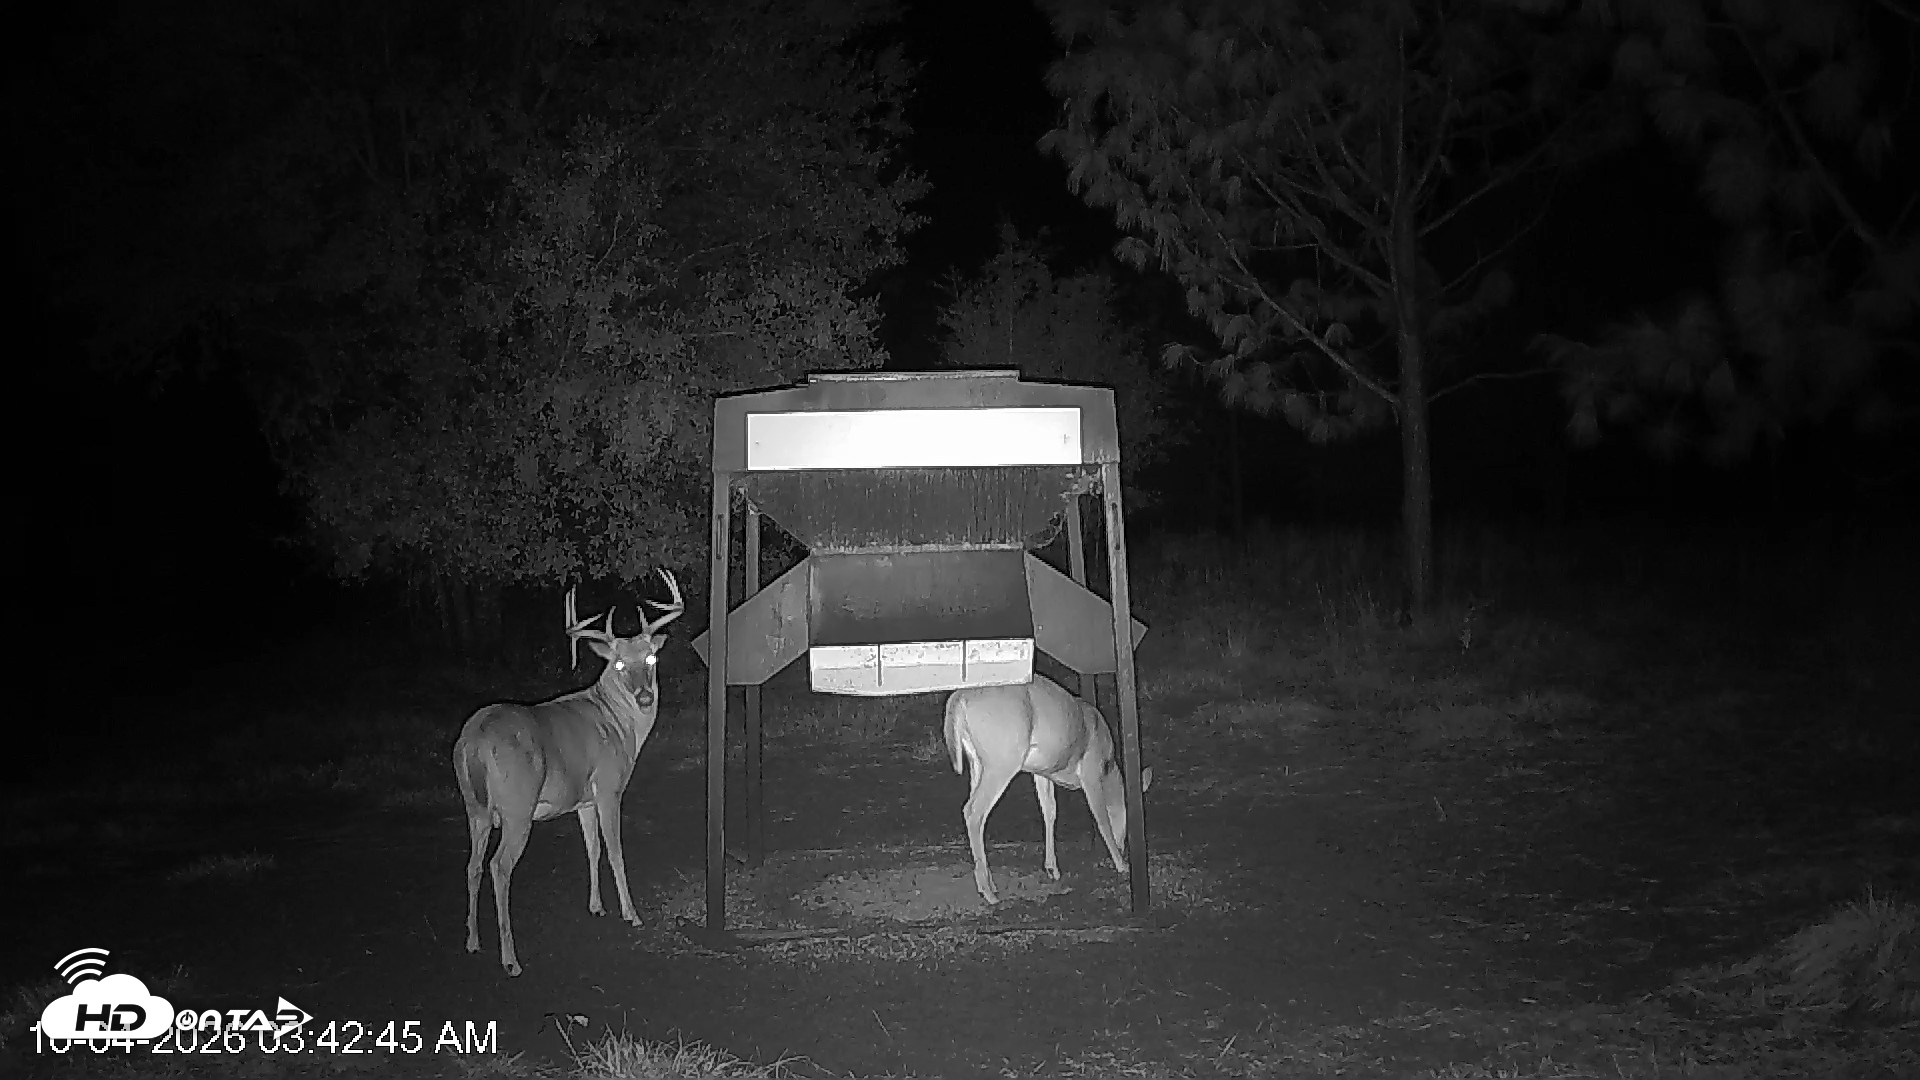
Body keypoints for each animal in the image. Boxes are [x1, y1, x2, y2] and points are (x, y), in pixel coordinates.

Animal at [452, 569, 683, 976]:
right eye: (619, 665)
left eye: (651, 656)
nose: (644, 697)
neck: (620, 726)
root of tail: (472, 742)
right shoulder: (608, 786)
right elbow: (615, 850)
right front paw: (631, 913)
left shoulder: (584, 800)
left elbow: (592, 848)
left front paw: (596, 906)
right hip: (516, 807)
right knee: (499, 866)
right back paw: (510, 959)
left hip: (475, 807)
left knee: (473, 865)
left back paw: (473, 941)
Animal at [944, 674, 1152, 905]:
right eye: (1129, 814)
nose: (1123, 846)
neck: (1109, 767)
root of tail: (959, 697)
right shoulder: (1090, 771)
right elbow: (1101, 818)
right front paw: (1121, 865)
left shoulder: (1042, 772)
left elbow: (1050, 811)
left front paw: (1052, 868)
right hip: (1003, 759)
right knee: (973, 811)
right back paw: (988, 892)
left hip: (977, 761)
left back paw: (990, 883)